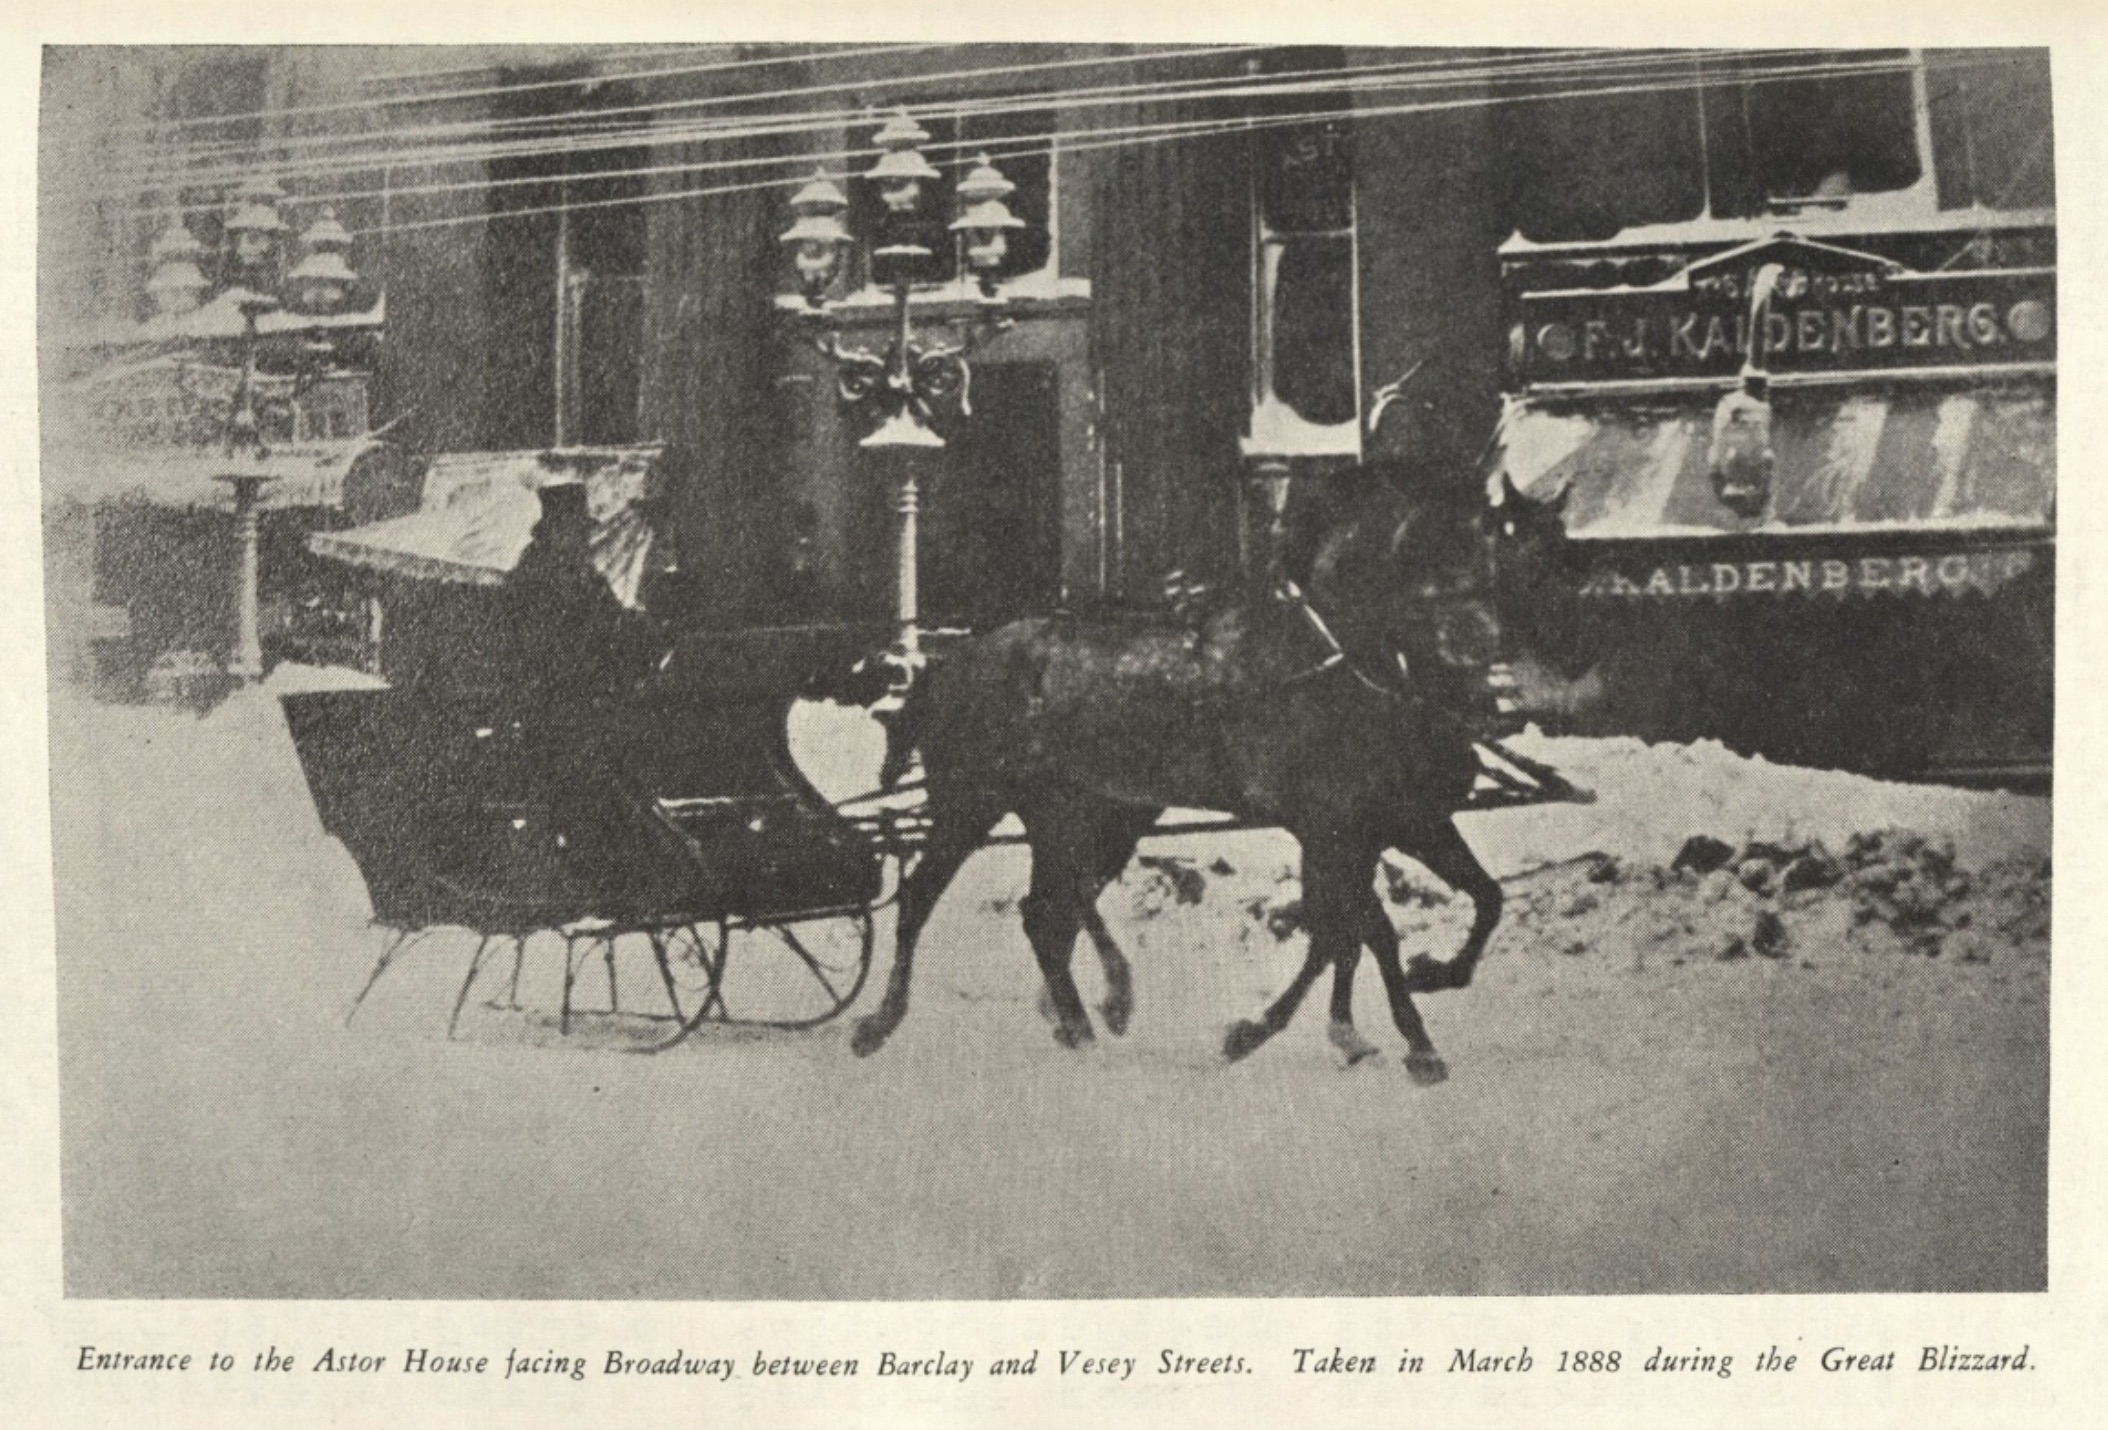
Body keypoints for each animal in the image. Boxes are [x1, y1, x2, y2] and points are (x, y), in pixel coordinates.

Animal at [847, 464, 1576, 1079]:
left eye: (1554, 552)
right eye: (1471, 554)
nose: (1498, 659)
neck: (1341, 663)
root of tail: (950, 664)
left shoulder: (1402, 822)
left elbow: (1465, 902)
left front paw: (1407, 998)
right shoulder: (1332, 828)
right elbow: (1360, 930)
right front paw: (1393, 1038)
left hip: (1082, 814)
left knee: (1048, 912)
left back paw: (1084, 1020)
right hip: (970, 803)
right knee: (922, 901)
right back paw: (882, 1021)